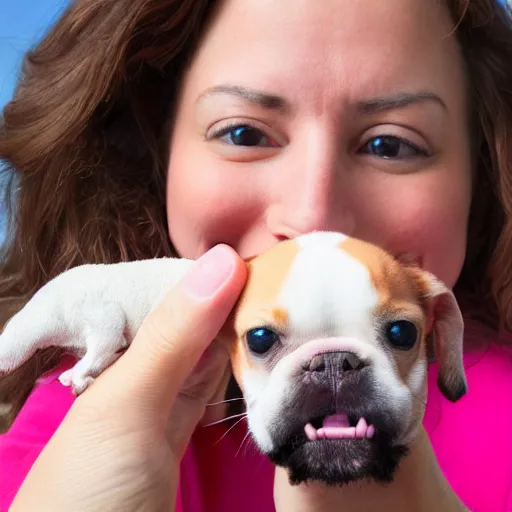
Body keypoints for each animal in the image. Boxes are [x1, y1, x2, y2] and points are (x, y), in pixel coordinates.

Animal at [0, 230, 466, 490]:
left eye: (403, 334)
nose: (334, 361)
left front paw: (80, 373)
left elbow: (102, 343)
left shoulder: (101, 321)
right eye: (259, 339)